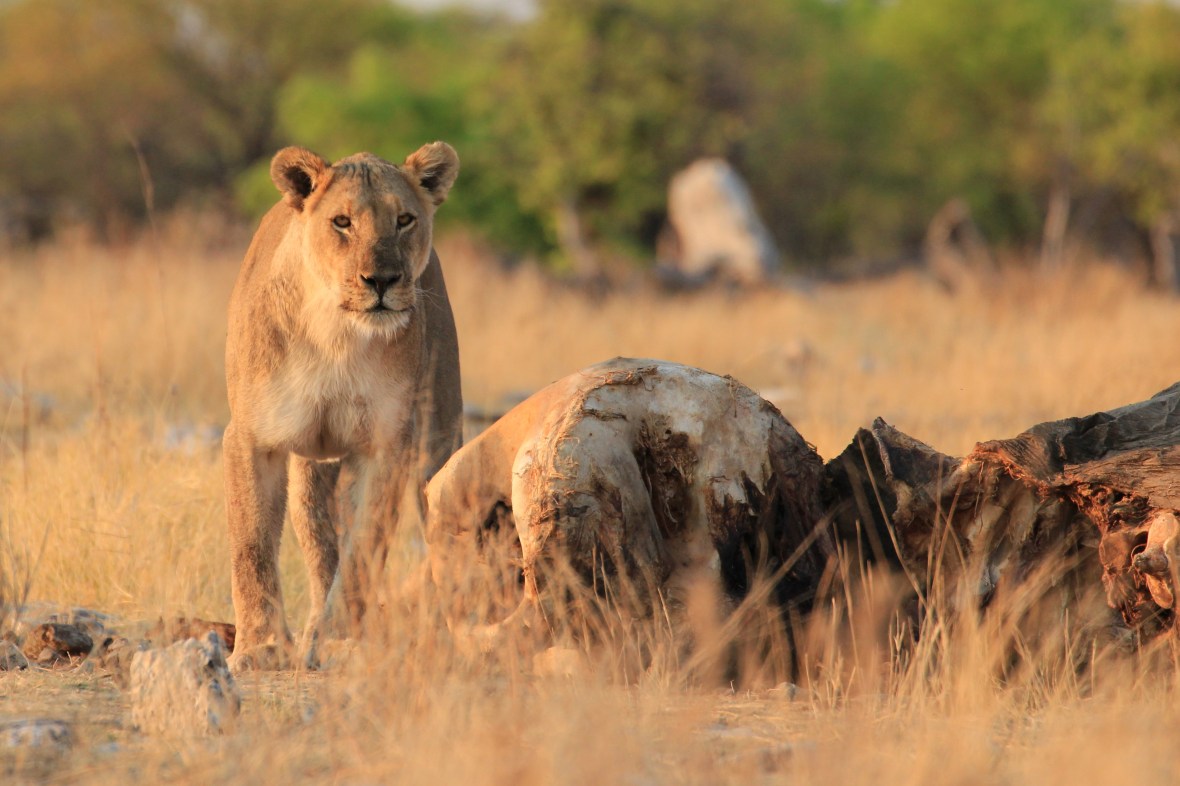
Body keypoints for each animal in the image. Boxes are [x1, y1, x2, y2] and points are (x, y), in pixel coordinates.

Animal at [223, 141, 462, 670]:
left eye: (404, 220)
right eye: (342, 222)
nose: (382, 280)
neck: (336, 334)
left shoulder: (385, 446)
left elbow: (363, 550)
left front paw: (340, 641)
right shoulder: (250, 438)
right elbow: (252, 545)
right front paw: (260, 646)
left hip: (437, 442)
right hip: (309, 474)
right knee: (318, 545)